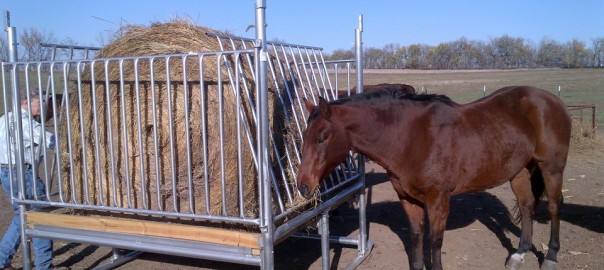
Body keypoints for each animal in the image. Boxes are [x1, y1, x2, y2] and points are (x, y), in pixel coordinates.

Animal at [298, 86, 572, 270]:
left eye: (322, 137)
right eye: (305, 135)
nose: (303, 186)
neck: (409, 137)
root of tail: (552, 100)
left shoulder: (439, 199)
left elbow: (435, 241)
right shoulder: (408, 199)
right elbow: (416, 237)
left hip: (552, 167)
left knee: (555, 206)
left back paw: (551, 257)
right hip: (519, 171)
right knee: (527, 206)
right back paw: (519, 254)